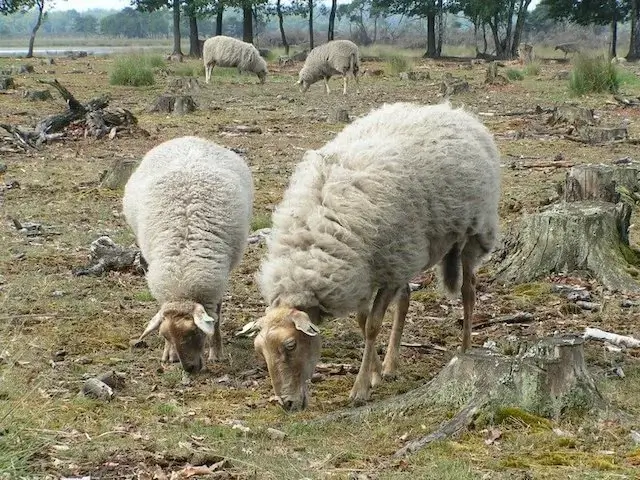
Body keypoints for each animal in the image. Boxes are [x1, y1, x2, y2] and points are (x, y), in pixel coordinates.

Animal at [123, 136, 254, 373]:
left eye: (195, 332)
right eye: (165, 335)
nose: (189, 369)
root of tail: (189, 138)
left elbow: (216, 317)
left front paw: (216, 352)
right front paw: (169, 355)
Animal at [238, 102, 501, 411]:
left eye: (290, 345)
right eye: (259, 350)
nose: (287, 404)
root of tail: (452, 110)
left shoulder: (379, 272)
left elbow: (373, 326)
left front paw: (361, 388)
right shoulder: (361, 273)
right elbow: (363, 324)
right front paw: (376, 373)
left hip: (472, 232)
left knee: (468, 290)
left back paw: (465, 348)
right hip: (404, 254)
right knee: (406, 299)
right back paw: (390, 365)